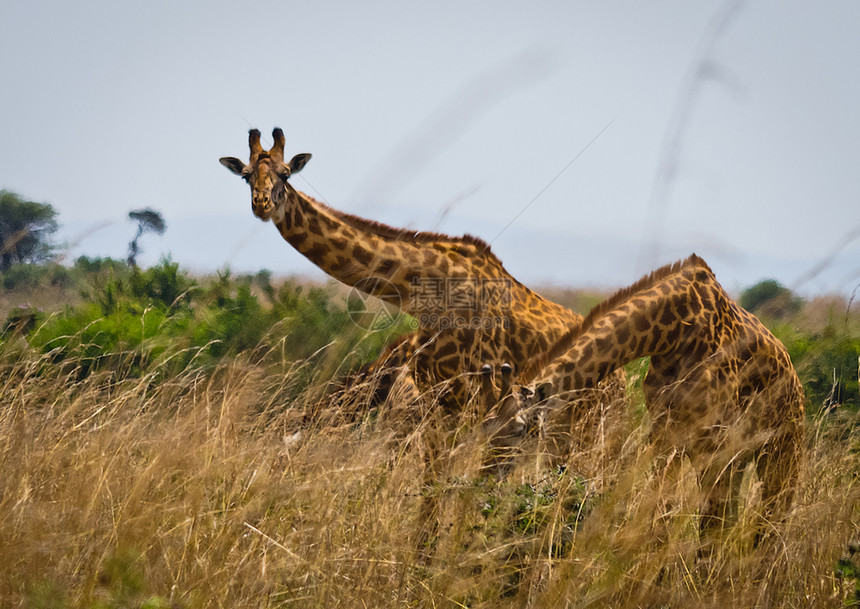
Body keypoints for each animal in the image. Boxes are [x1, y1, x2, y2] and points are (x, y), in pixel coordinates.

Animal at [222, 127, 620, 408]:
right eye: (245, 175)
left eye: (286, 174)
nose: (261, 204)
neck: (425, 288)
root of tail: (623, 382)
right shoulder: (438, 393)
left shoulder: (478, 392)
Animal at [484, 254, 808, 536]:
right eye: (485, 424)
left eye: (517, 429)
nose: (484, 475)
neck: (672, 332)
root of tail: (795, 379)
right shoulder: (666, 431)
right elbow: (660, 507)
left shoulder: (714, 438)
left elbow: (704, 517)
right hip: (740, 455)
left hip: (783, 447)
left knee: (772, 512)